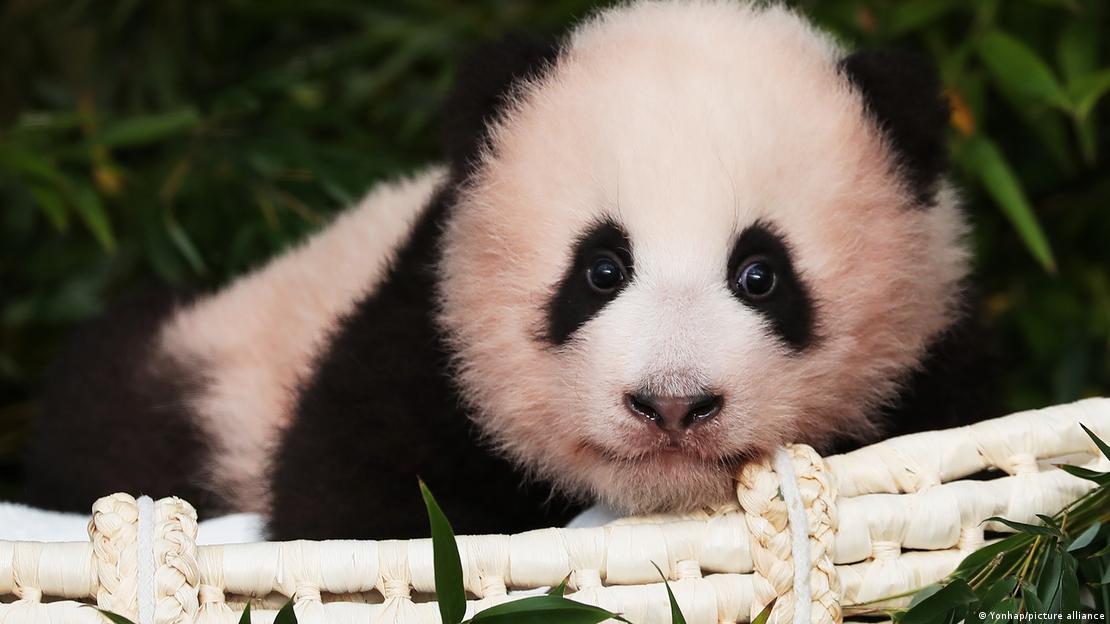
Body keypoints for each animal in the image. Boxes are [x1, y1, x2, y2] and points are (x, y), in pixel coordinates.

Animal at [25, 0, 994, 539]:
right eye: (600, 270)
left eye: (761, 276)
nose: (672, 405)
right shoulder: (425, 329)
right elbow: (353, 507)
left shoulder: (932, 355)